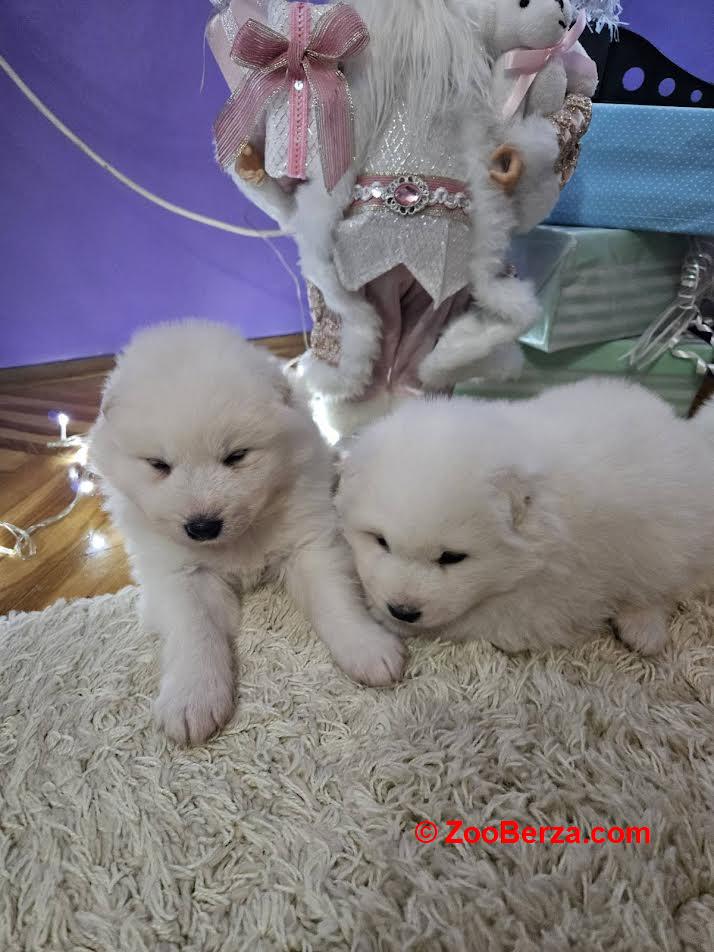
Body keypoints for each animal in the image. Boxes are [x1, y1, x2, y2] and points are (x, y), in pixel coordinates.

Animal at [88, 320, 400, 744]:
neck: (240, 536)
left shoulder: (310, 542)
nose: (202, 526)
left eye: (236, 456)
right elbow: (195, 628)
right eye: (158, 465)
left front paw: (367, 647)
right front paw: (193, 699)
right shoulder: (178, 575)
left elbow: (335, 599)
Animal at [336, 380, 712, 656]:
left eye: (452, 557)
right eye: (380, 541)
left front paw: (387, 618)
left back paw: (643, 629)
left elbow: (470, 620)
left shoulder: (548, 603)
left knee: (668, 587)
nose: (402, 609)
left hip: (669, 543)